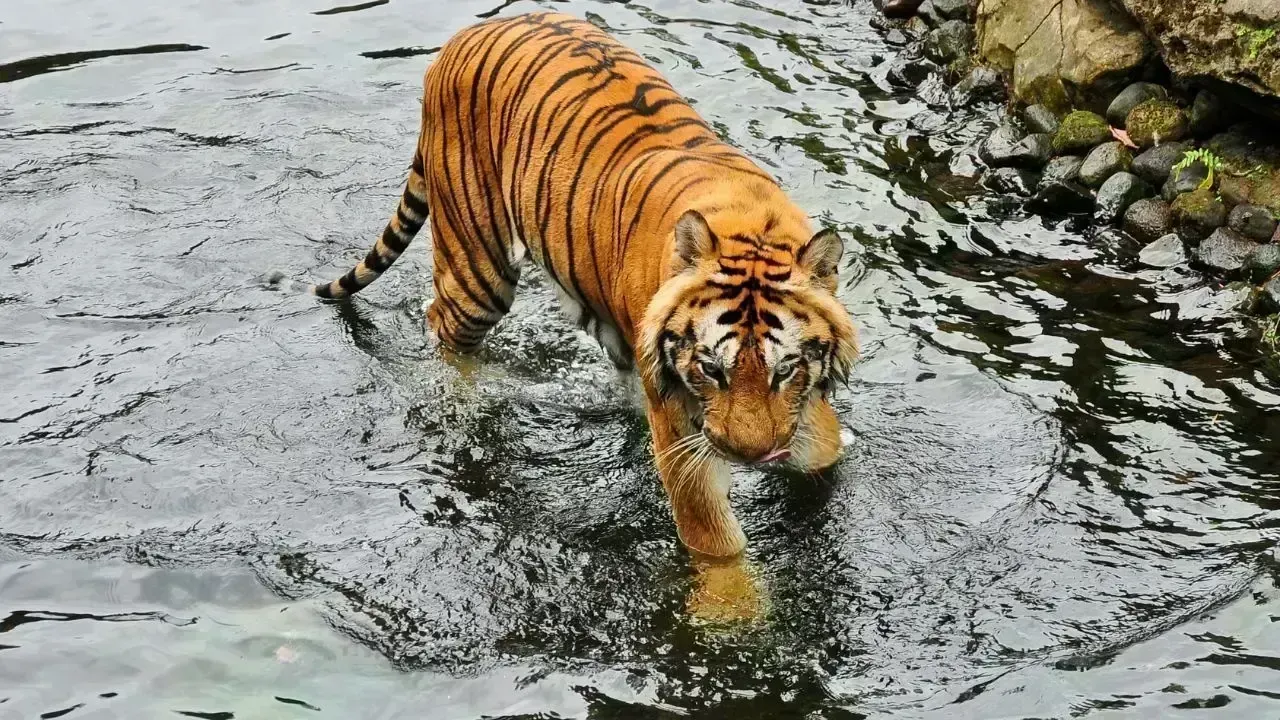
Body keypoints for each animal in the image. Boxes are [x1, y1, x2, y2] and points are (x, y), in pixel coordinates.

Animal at [310, 10, 859, 558]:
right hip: (477, 270)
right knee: (443, 325)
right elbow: (716, 545)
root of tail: (464, 37)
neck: (750, 223)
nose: (752, 457)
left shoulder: (802, 416)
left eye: (785, 368)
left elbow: (821, 452)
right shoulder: (681, 430)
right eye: (709, 368)